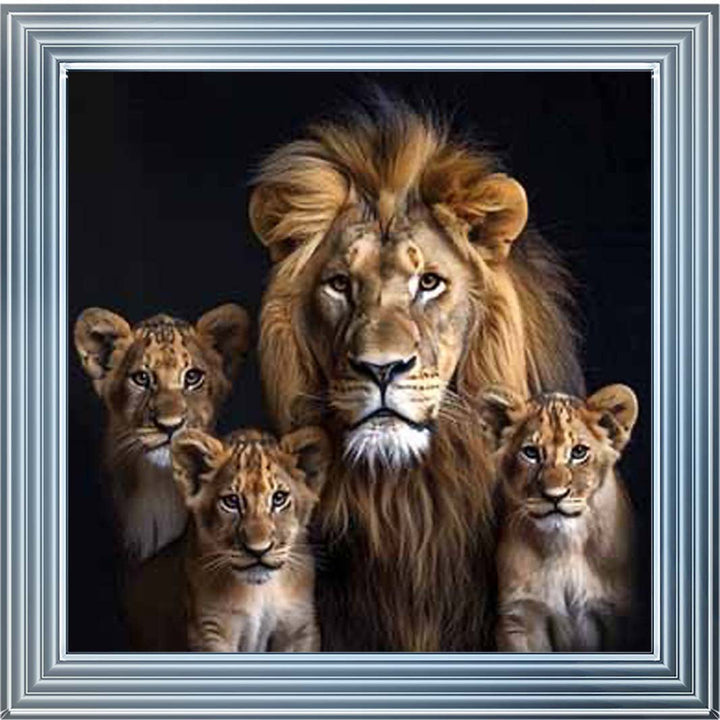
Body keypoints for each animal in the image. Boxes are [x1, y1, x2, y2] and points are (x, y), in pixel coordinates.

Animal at [479, 384, 638, 651]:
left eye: (579, 452)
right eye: (530, 453)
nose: (555, 496)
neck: (565, 545)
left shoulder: (619, 613)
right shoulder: (521, 618)